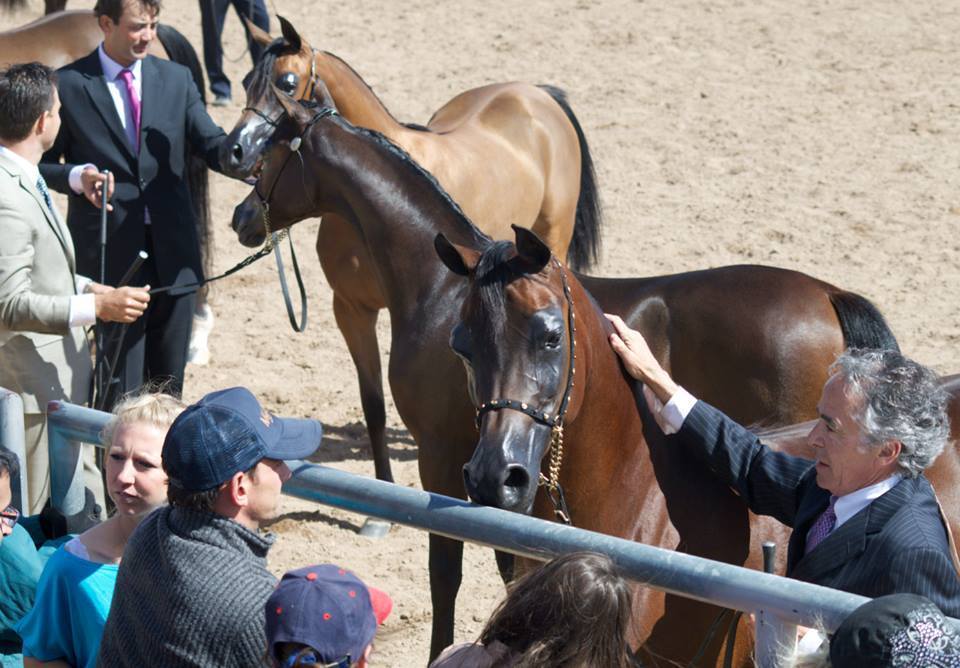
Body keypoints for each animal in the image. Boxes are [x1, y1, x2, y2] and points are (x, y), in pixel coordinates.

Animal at [219, 16, 601, 483]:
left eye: (286, 83)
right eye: (245, 81)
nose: (233, 153)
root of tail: (536, 92)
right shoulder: (351, 308)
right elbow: (374, 407)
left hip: (555, 237)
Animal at [230, 84, 899, 661]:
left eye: (269, 150)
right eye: (462, 346)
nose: (240, 217)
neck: (438, 288)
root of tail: (828, 292)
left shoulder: (441, 457)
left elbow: (445, 570)